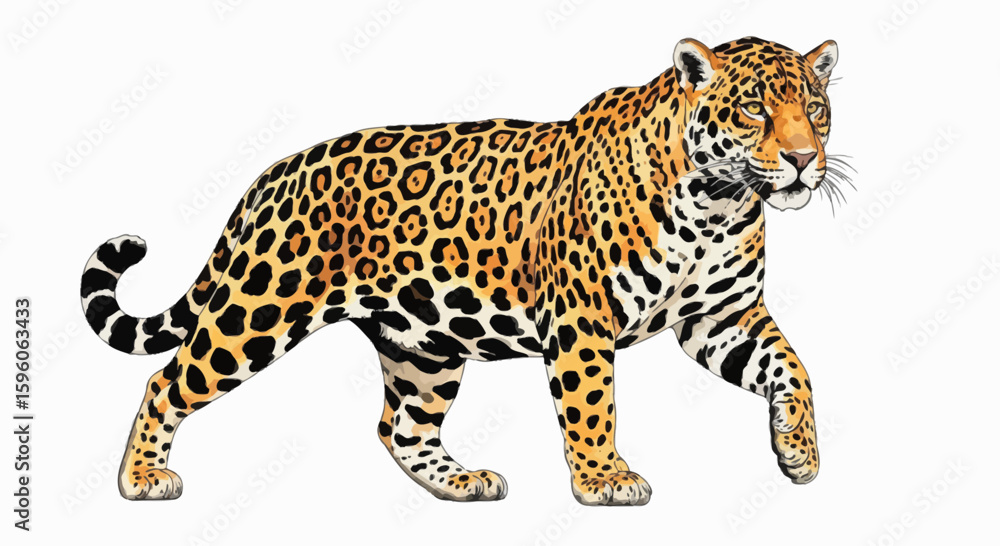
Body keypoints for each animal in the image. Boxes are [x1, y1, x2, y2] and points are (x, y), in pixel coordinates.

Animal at [80, 36, 842, 506]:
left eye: (815, 108)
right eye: (753, 108)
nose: (805, 159)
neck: (717, 202)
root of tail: (274, 173)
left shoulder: (720, 317)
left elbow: (793, 368)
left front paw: (799, 453)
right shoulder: (583, 322)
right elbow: (593, 406)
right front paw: (604, 480)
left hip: (424, 345)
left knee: (401, 428)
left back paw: (463, 482)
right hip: (257, 308)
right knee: (167, 381)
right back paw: (142, 476)